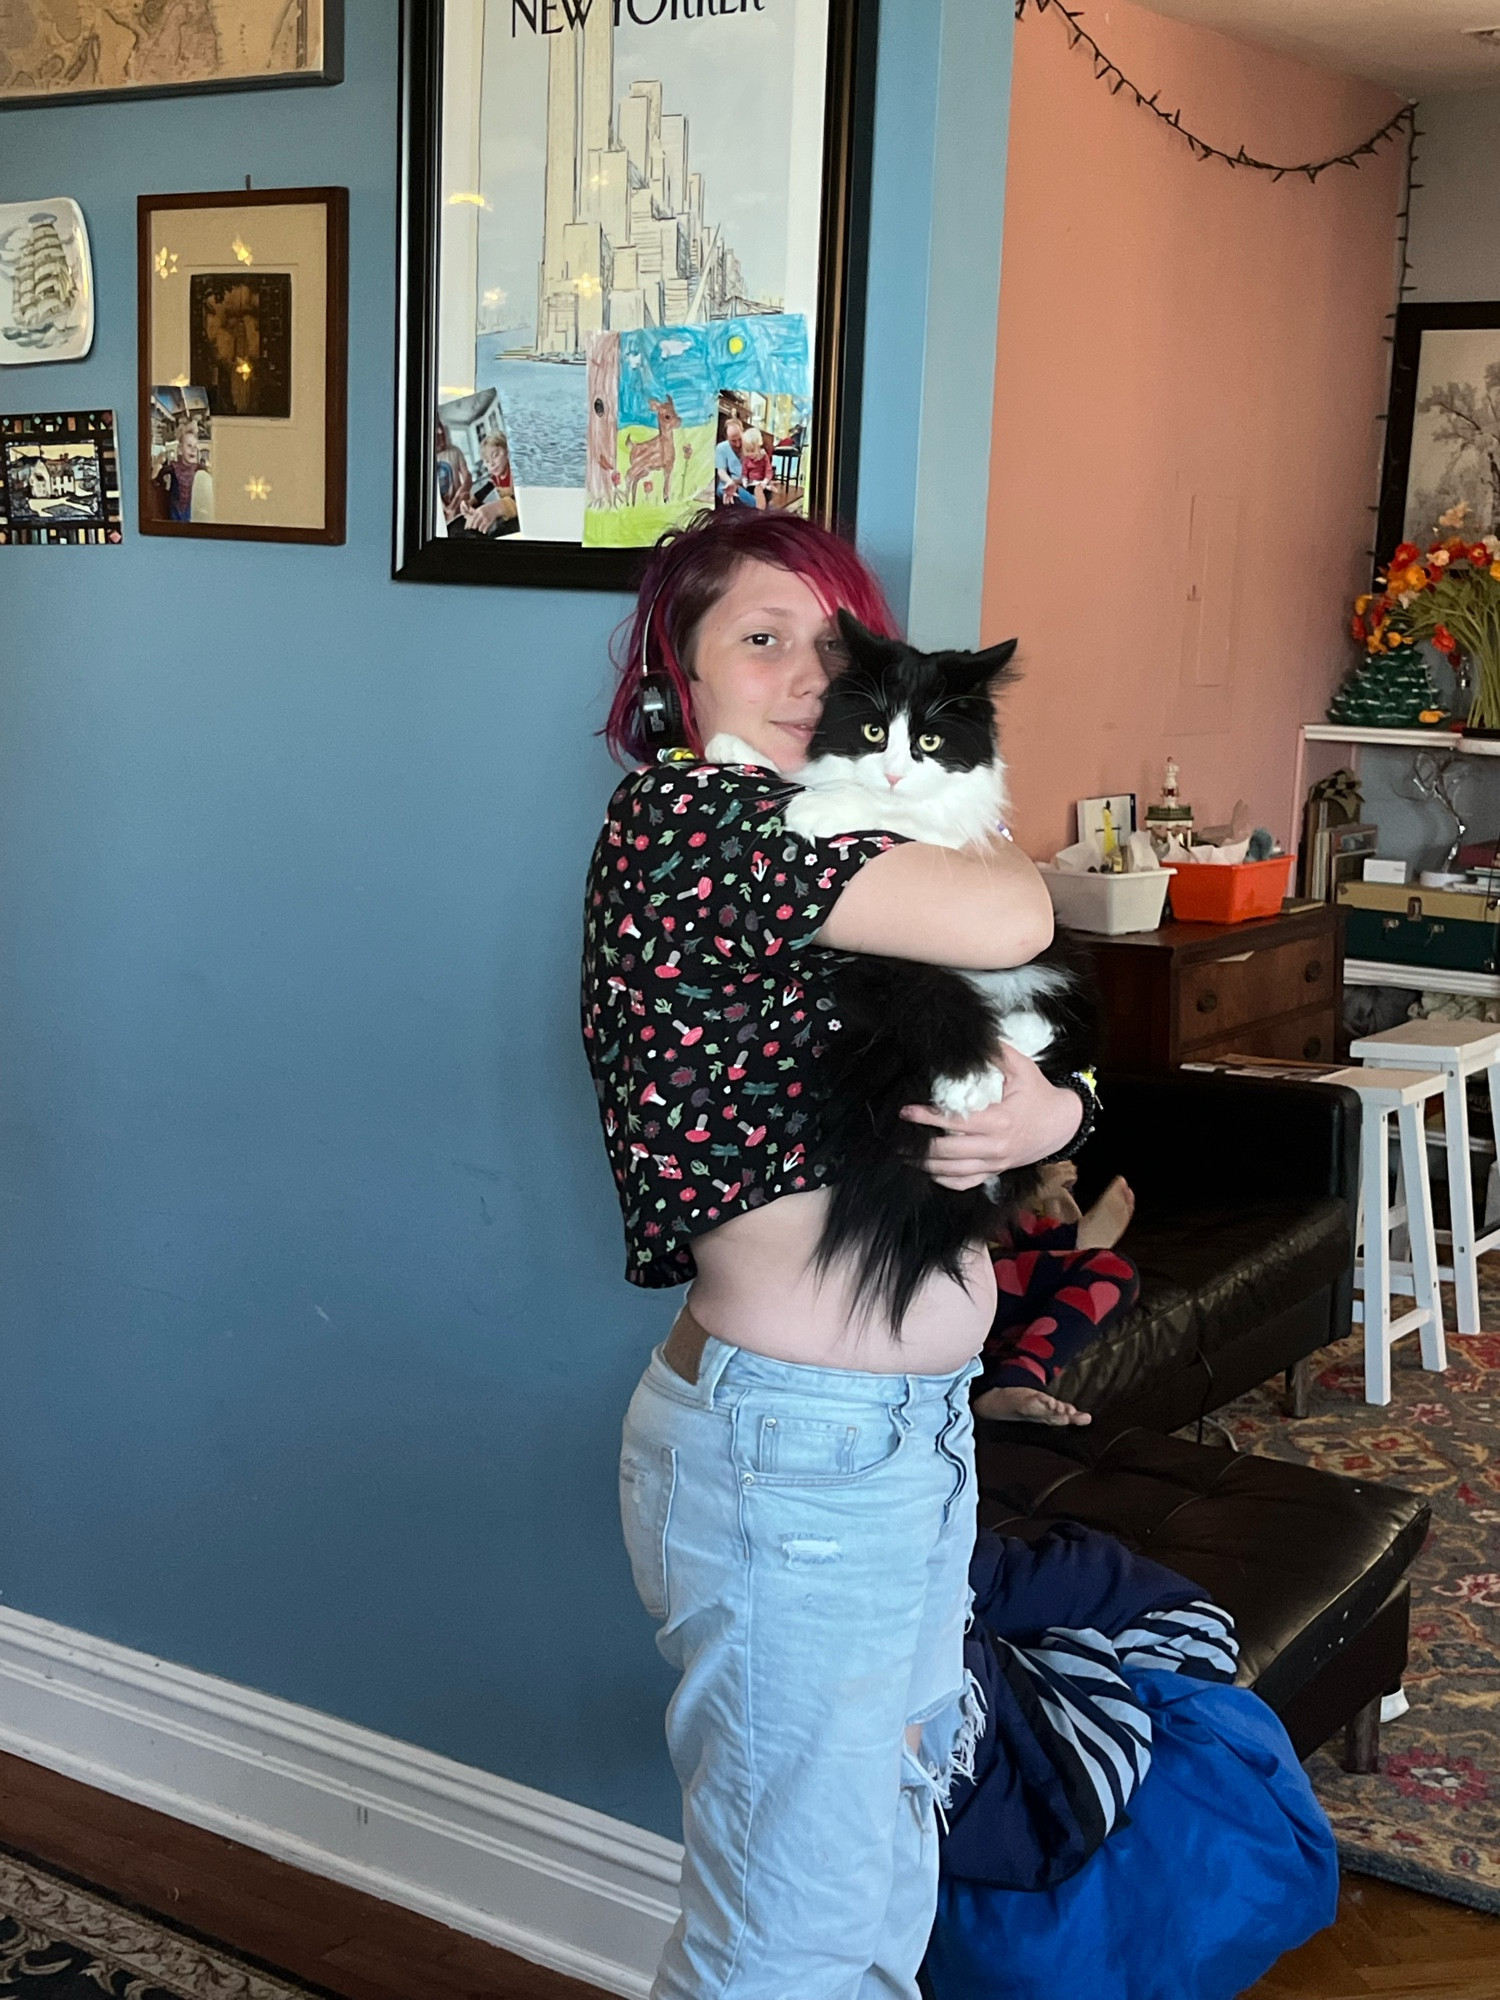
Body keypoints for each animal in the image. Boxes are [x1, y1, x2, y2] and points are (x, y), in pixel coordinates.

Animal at [712, 608, 1096, 1328]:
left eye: (929, 739)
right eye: (872, 731)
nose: (893, 771)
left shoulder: (949, 839)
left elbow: (887, 811)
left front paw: (819, 806)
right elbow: (812, 774)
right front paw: (730, 747)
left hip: (1041, 956)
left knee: (1029, 1023)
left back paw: (981, 1072)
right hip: (897, 965)